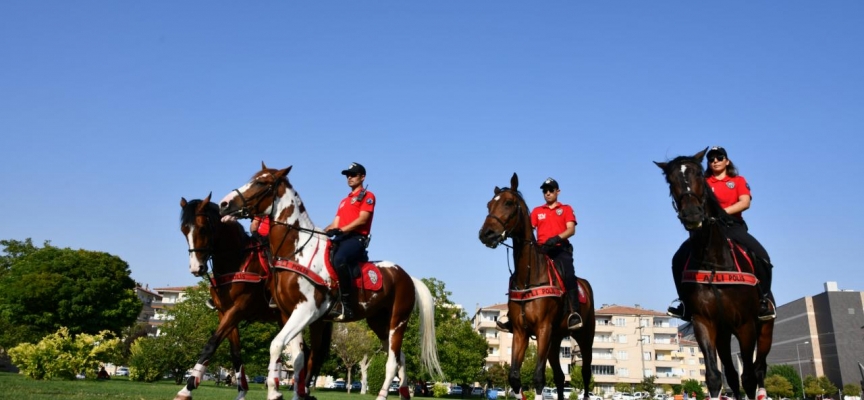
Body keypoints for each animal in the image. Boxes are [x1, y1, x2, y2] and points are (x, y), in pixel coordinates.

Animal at [177, 194, 292, 400]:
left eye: (203, 228)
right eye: (184, 230)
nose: (196, 268)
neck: (236, 262)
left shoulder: (237, 310)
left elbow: (211, 344)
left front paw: (187, 387)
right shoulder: (225, 313)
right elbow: (236, 353)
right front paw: (241, 391)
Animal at [219, 163, 442, 400]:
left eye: (262, 183)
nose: (224, 204)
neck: (297, 251)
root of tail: (408, 277)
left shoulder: (307, 311)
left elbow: (277, 345)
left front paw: (274, 392)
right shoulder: (288, 314)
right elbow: (297, 356)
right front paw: (294, 393)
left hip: (397, 322)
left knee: (391, 362)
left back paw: (382, 395)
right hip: (379, 323)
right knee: (401, 358)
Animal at [480, 173, 592, 400]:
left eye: (509, 202)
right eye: (489, 204)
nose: (486, 233)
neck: (528, 275)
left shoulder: (543, 329)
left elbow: (539, 378)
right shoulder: (521, 332)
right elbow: (514, 377)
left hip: (585, 337)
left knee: (585, 372)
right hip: (555, 340)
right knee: (559, 376)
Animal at [656, 149, 776, 400]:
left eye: (700, 176)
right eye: (671, 181)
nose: (692, 215)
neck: (714, 263)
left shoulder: (746, 325)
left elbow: (748, 377)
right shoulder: (704, 322)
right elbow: (713, 376)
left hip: (764, 329)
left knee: (759, 368)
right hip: (723, 333)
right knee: (730, 373)